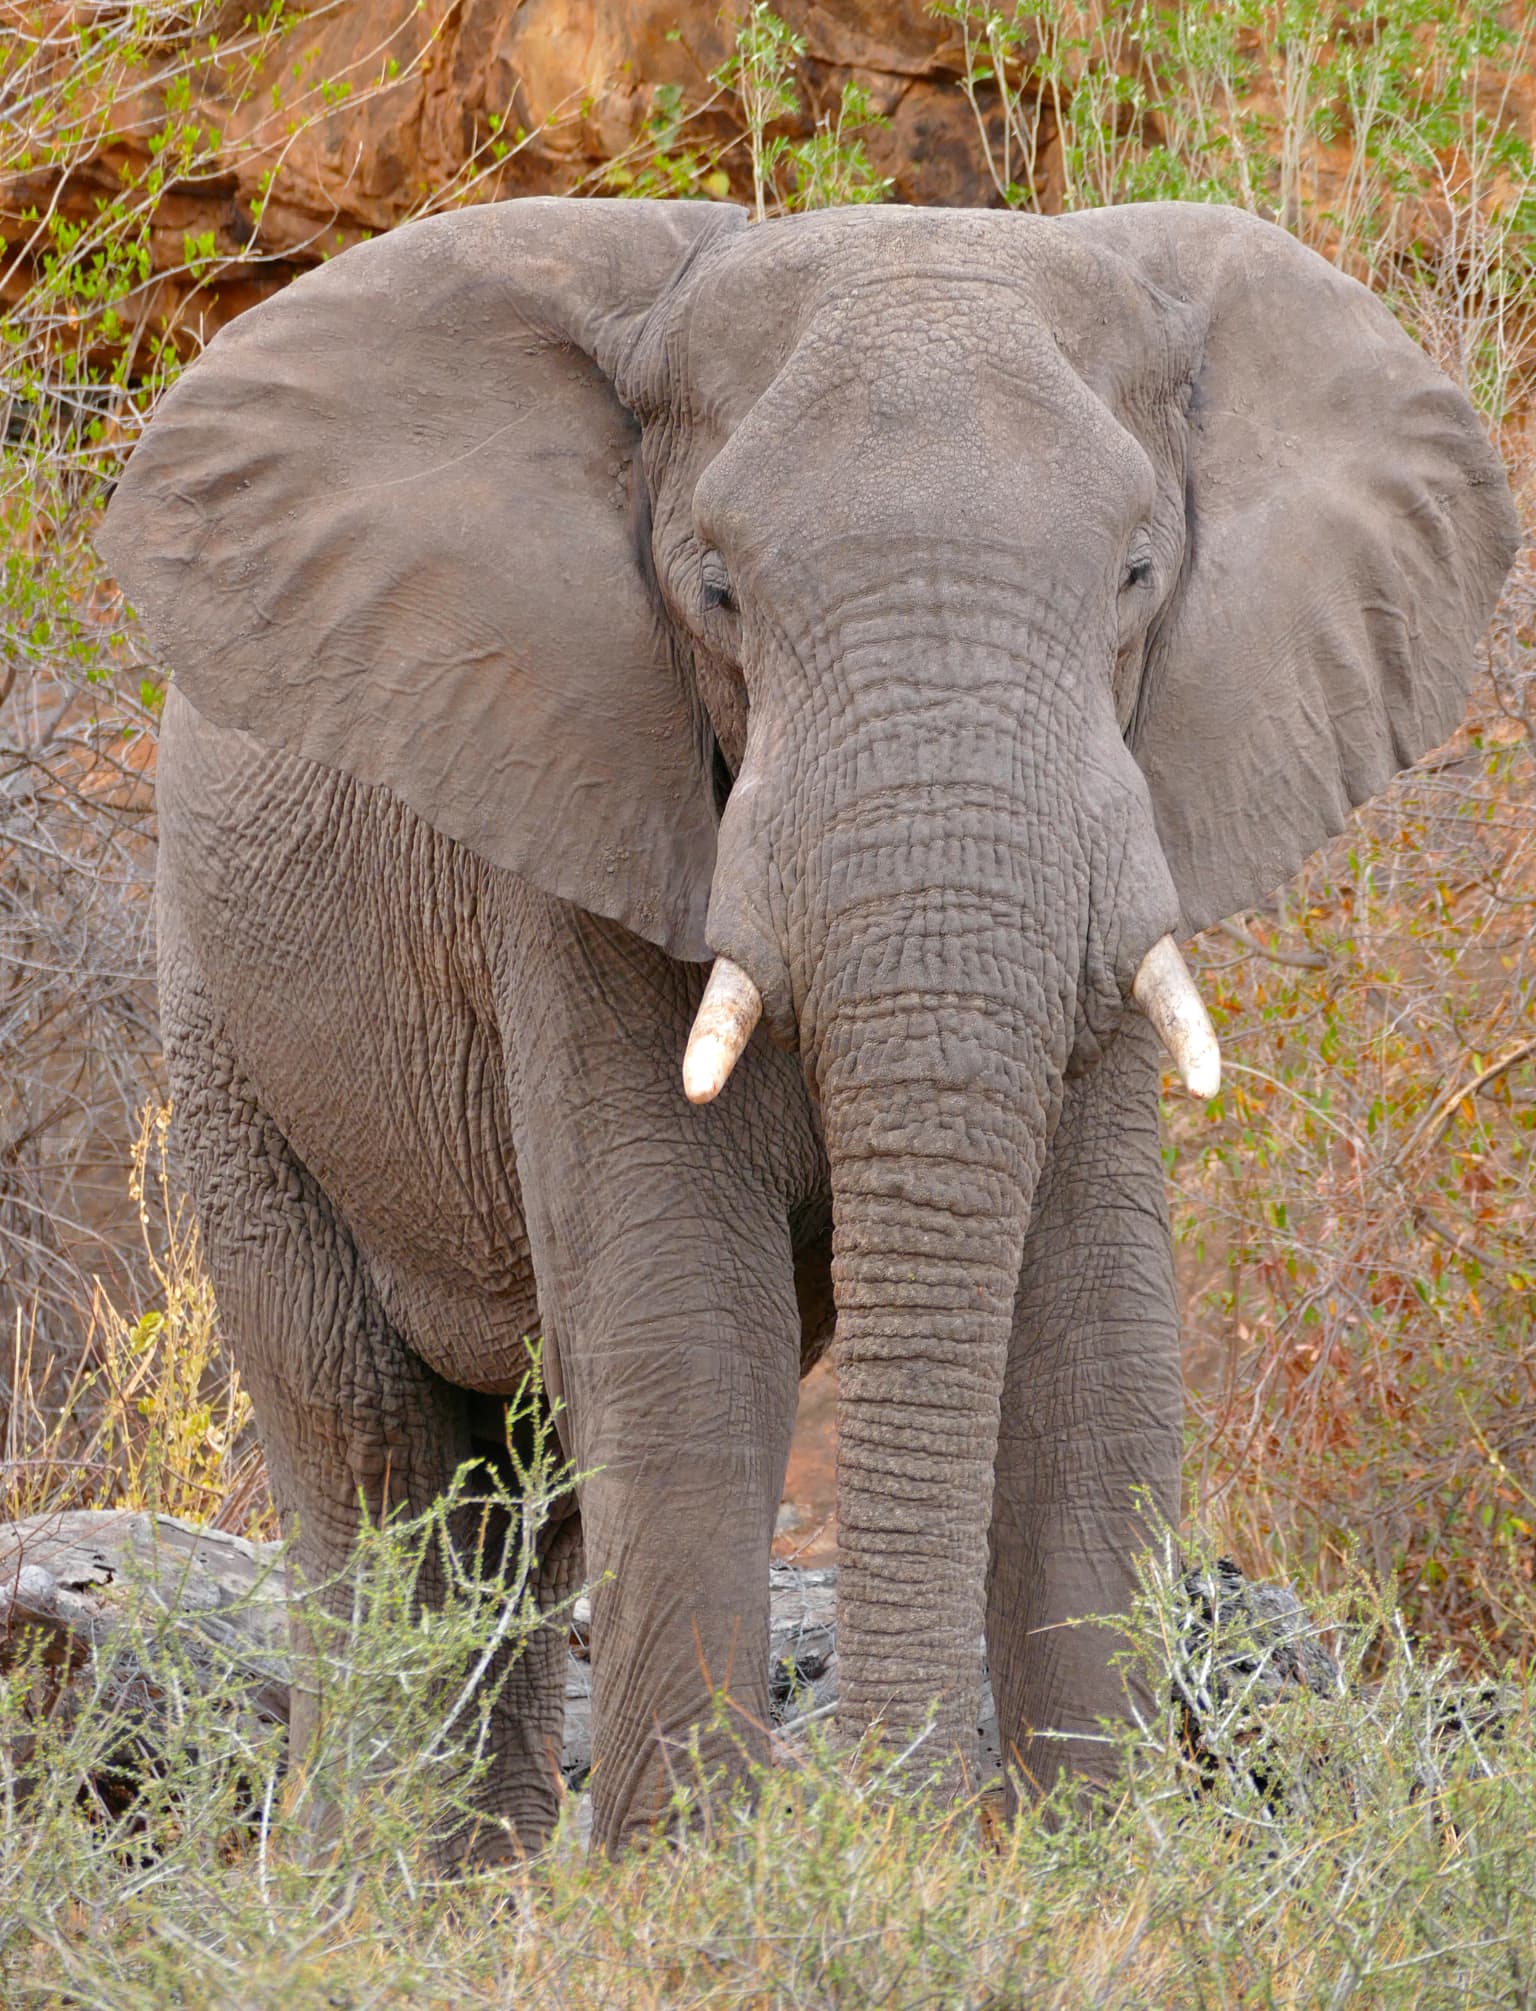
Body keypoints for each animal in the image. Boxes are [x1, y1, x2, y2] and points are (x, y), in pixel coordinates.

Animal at [97, 196, 1517, 1856]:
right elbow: (689, 1336)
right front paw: (704, 1878)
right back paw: (363, 1876)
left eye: (1137, 573)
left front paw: (1091, 1863)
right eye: (715, 587)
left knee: (527, 1494)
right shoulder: (578, 823)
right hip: (222, 1018)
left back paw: (488, 1875)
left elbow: (1097, 1347)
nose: (916, 1821)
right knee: (371, 1455)